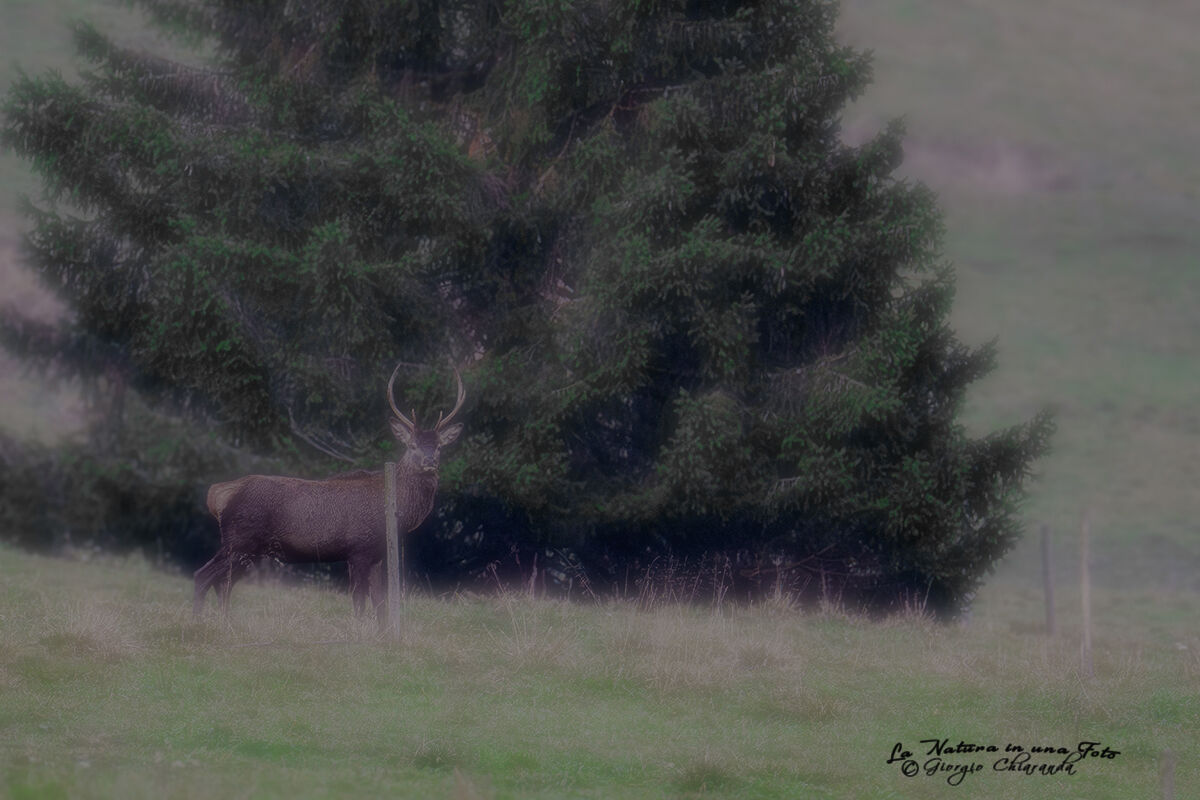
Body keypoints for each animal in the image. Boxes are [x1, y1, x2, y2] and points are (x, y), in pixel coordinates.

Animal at [193, 365, 465, 618]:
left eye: (439, 446)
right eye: (412, 445)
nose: (430, 461)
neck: (394, 512)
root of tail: (218, 494)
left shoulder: (376, 554)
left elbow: (380, 604)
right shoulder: (358, 549)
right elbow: (359, 603)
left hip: (248, 549)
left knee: (223, 583)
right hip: (239, 540)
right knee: (202, 576)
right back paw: (198, 623)